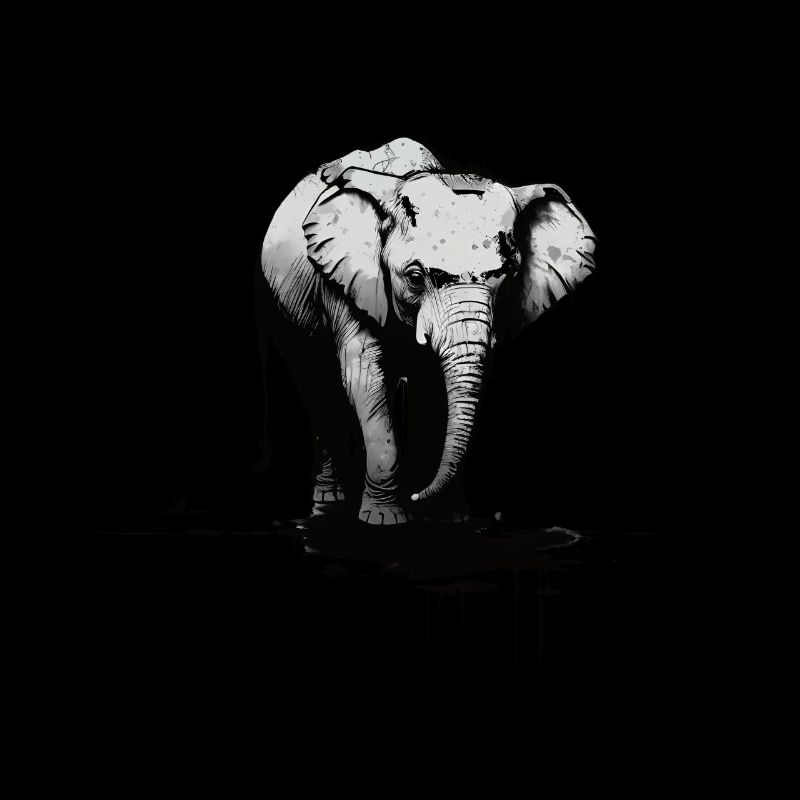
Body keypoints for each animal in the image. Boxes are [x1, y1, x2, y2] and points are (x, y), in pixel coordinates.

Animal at [259, 137, 596, 525]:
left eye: (509, 276)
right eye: (416, 277)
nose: (417, 494)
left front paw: (450, 518)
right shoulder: (346, 284)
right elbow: (363, 373)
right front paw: (385, 520)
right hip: (283, 304)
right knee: (318, 384)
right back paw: (328, 503)